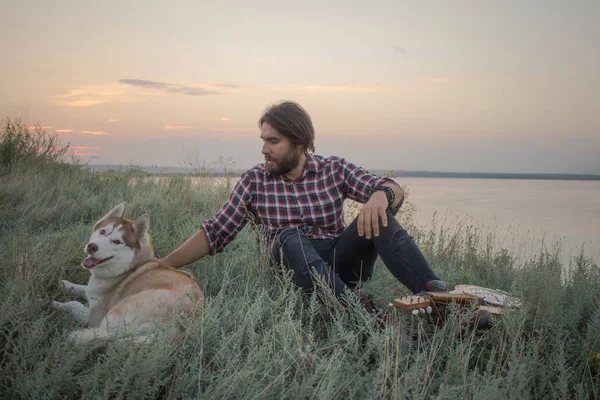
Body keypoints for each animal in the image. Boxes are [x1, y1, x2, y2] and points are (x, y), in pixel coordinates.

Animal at [54, 203, 204, 344]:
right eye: (102, 231)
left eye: (117, 241)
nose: (92, 247)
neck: (126, 270)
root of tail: (177, 328)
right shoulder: (93, 291)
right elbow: (82, 288)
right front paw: (65, 284)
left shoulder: (94, 315)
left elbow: (74, 303)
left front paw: (56, 304)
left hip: (113, 315)